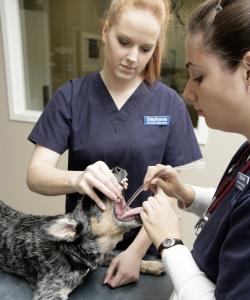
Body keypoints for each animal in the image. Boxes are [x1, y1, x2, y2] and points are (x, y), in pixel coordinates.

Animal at [0, 168, 164, 298]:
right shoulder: (49, 292)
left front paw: (152, 265)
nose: (116, 168)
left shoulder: (100, 255)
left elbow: (117, 255)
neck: (70, 251)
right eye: (94, 196)